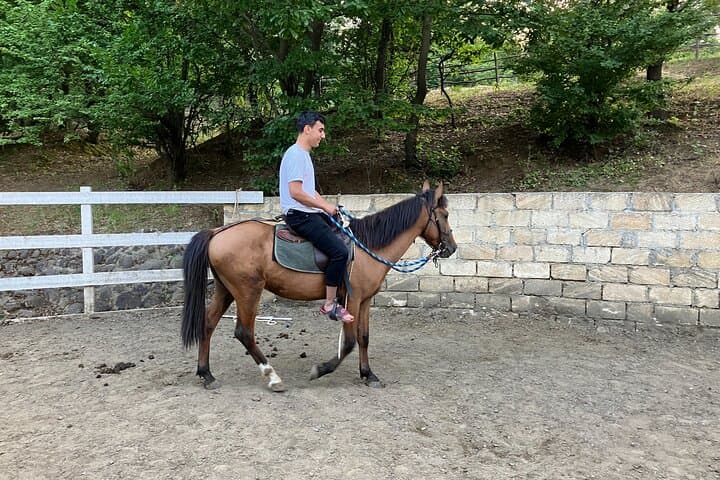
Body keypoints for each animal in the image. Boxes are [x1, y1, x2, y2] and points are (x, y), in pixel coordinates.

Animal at [181, 180, 457, 391]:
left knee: (208, 324)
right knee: (244, 333)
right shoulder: (352, 300)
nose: (452, 248)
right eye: (444, 215)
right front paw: (321, 369)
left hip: (226, 290)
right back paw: (272, 376)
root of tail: (217, 232)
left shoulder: (365, 300)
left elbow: (364, 337)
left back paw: (206, 374)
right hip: (248, 292)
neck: (368, 246)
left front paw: (368, 374)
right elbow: (349, 342)